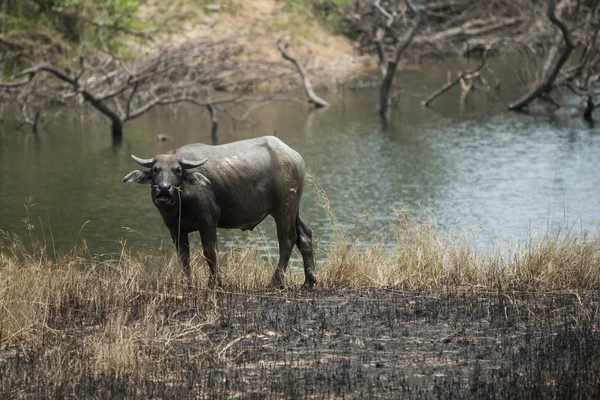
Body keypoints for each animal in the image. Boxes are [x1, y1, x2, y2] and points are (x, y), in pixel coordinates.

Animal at [122, 136, 318, 290]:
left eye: (177, 170)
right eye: (156, 170)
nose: (164, 189)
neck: (181, 202)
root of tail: (295, 157)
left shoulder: (208, 221)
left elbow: (210, 252)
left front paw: (215, 283)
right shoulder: (175, 229)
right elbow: (184, 257)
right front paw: (189, 284)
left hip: (283, 209)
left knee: (287, 239)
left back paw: (275, 282)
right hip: (294, 209)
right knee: (305, 235)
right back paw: (309, 281)